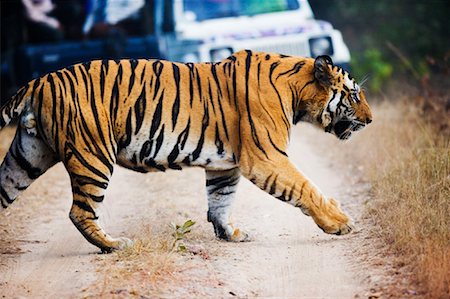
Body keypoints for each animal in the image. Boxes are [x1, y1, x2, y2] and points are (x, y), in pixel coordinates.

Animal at [0, 51, 372, 253]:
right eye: (354, 95)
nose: (370, 120)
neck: (298, 91)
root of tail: (37, 82)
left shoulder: (226, 164)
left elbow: (220, 200)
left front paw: (230, 234)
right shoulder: (266, 157)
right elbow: (306, 188)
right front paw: (340, 223)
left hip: (27, 157)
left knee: (6, 190)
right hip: (93, 156)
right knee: (80, 212)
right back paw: (114, 245)